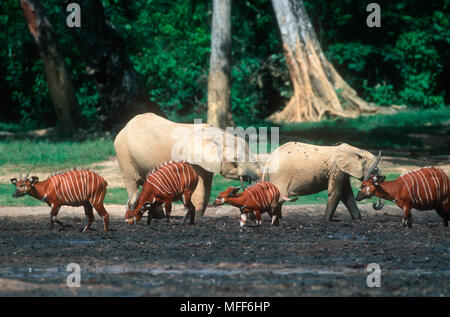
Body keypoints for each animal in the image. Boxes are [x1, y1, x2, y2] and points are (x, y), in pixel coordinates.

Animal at [114, 113, 262, 220]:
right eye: (235, 161)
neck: (218, 135)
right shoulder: (191, 160)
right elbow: (199, 190)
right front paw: (197, 220)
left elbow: (206, 188)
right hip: (124, 155)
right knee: (132, 186)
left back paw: (158, 218)